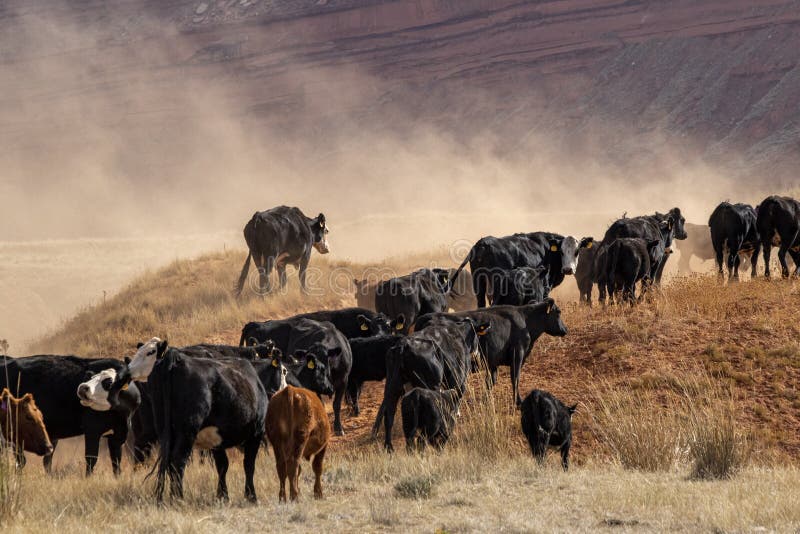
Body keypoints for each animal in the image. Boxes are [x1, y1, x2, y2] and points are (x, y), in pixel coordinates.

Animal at [0, 356, 141, 478]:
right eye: (91, 377)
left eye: (108, 382)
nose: (83, 387)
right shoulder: (92, 430)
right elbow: (91, 459)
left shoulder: (119, 434)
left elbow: (116, 462)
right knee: (22, 460)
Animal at [125, 342, 268, 504]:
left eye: (150, 352)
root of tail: (175, 359)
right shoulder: (256, 433)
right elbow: (248, 465)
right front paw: (251, 496)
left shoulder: (216, 441)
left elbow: (222, 465)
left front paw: (222, 496)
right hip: (187, 431)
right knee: (178, 460)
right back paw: (178, 497)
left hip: (164, 429)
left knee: (169, 461)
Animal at [454, 231, 592, 310]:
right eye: (561, 251)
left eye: (577, 251)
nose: (568, 269)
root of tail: (482, 244)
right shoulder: (545, 286)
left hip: (479, 282)